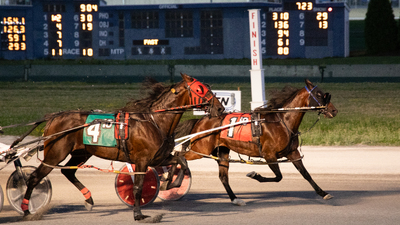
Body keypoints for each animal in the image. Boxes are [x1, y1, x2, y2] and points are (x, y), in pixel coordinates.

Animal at [17, 73, 223, 221]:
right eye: (200, 89)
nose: (220, 108)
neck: (155, 121)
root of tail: (53, 117)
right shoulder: (142, 160)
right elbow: (138, 187)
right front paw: (138, 214)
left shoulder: (158, 156)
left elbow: (181, 161)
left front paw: (170, 182)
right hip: (55, 153)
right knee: (35, 177)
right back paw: (27, 210)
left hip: (81, 152)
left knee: (68, 171)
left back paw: (88, 199)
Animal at [176, 79, 338, 206]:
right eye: (319, 94)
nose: (334, 110)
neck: (282, 121)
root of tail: (201, 120)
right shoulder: (269, 154)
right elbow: (278, 177)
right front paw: (254, 175)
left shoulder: (293, 152)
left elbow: (306, 174)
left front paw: (323, 193)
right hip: (201, 149)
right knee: (180, 156)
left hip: (222, 150)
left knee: (223, 177)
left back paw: (235, 199)